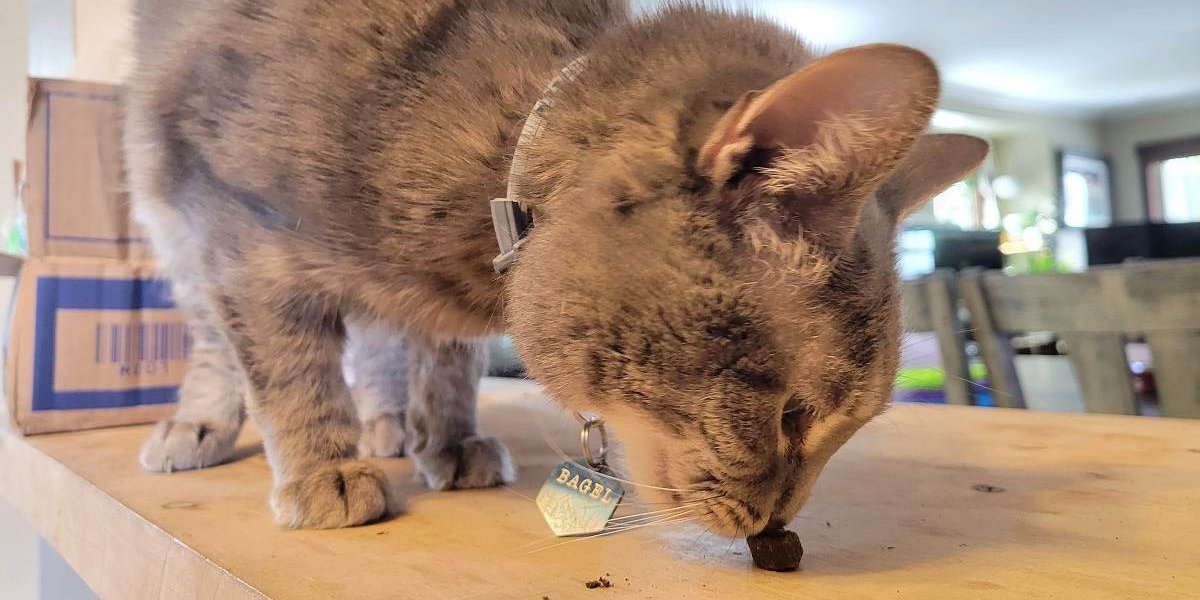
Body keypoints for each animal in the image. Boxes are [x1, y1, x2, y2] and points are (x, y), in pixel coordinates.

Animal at [124, 0, 984, 535]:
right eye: (793, 415)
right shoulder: (237, 235)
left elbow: (447, 359)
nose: (779, 524)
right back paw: (202, 424)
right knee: (217, 340)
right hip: (165, 208)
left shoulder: (442, 309)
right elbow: (288, 369)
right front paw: (319, 468)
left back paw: (387, 421)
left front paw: (448, 435)